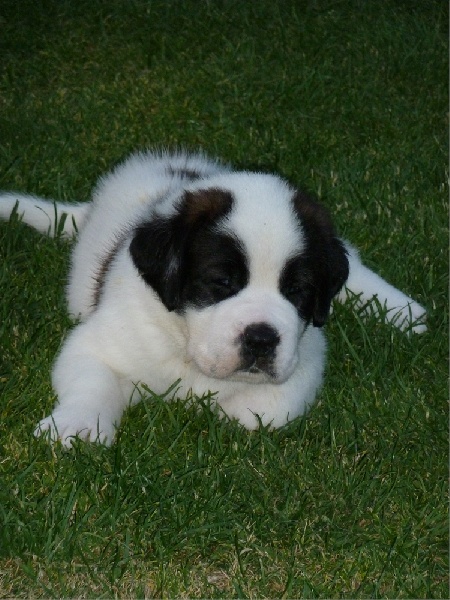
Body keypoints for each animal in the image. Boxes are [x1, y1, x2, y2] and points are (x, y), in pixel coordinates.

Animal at [0, 150, 427, 446]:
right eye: (221, 281)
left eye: (297, 291)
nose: (261, 339)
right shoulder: (102, 340)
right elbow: (92, 381)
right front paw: (77, 427)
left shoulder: (304, 358)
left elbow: (265, 410)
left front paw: (224, 414)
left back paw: (402, 310)